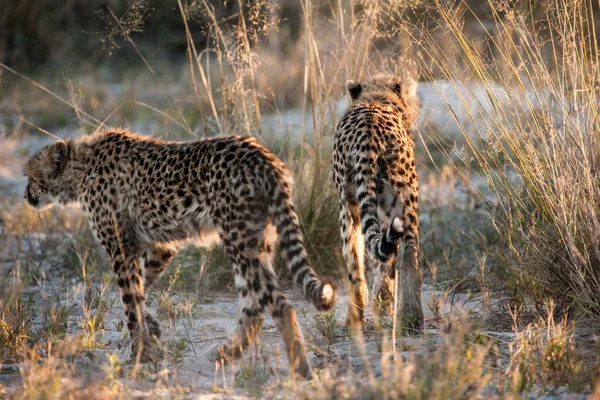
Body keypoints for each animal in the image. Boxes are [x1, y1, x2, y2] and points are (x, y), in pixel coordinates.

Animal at [23, 129, 338, 378]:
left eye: (30, 176)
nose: (26, 196)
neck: (81, 167)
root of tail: (262, 154)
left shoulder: (121, 248)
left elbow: (130, 303)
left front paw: (139, 356)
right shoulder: (159, 246)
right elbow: (140, 291)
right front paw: (152, 336)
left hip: (239, 239)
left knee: (279, 305)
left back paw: (300, 370)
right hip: (256, 242)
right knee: (254, 307)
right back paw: (225, 353)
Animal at [330, 74, 424, 332]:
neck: (376, 99)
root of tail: (369, 130)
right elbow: (386, 264)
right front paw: (384, 307)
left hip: (349, 207)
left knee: (355, 265)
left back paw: (355, 319)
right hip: (405, 202)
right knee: (409, 256)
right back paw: (411, 316)